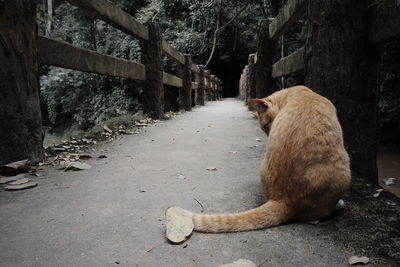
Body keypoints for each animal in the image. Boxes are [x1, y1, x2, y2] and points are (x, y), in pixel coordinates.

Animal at [184, 86, 350, 232]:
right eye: (264, 128)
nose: (268, 135)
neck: (297, 92)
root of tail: (283, 200)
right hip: (344, 173)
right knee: (318, 215)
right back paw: (339, 204)